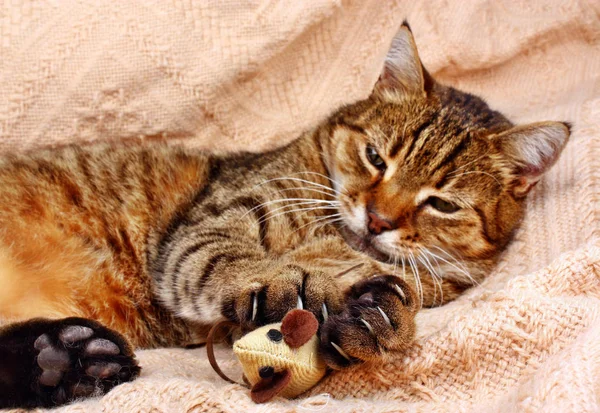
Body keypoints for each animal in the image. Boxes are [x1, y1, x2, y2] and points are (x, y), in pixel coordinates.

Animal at [0, 24, 572, 408]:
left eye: (442, 203)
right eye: (376, 158)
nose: (378, 220)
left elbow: (390, 295)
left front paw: (371, 313)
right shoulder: (209, 225)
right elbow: (229, 259)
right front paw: (283, 282)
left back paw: (65, 358)